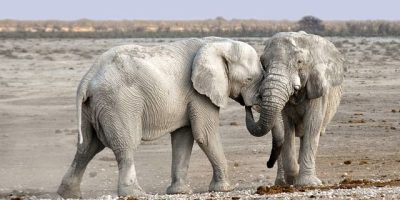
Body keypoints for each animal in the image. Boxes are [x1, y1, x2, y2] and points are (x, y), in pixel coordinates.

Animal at [56, 36, 262, 198]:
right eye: (249, 80)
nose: (249, 106)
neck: (217, 43)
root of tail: (88, 78)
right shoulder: (199, 93)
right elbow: (205, 135)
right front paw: (225, 189)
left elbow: (183, 138)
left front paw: (179, 192)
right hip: (118, 102)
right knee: (125, 145)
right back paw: (136, 194)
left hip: (93, 107)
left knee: (87, 147)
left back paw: (69, 194)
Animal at [245, 31, 346, 186]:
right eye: (263, 63)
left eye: (299, 62)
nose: (248, 105)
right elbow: (287, 128)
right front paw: (293, 177)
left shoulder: (317, 88)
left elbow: (313, 124)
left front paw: (307, 183)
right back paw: (283, 182)